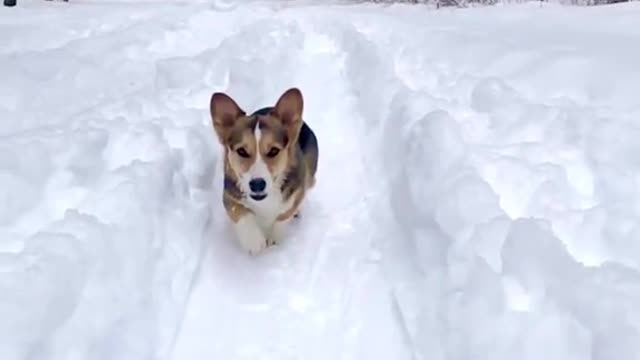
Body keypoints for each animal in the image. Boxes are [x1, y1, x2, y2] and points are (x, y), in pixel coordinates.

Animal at [210, 88, 320, 255]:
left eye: (274, 151)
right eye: (242, 151)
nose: (257, 185)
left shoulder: (298, 189)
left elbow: (284, 214)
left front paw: (274, 239)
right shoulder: (229, 195)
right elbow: (240, 212)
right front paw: (254, 241)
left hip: (310, 176)